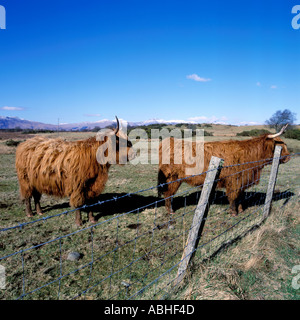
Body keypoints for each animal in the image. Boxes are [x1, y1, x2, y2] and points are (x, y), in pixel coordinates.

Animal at [158, 124, 290, 215]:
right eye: (280, 144)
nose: (289, 157)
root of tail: (169, 141)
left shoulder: (242, 180)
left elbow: (240, 196)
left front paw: (241, 210)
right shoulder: (234, 180)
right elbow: (233, 196)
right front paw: (234, 212)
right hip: (172, 178)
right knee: (168, 194)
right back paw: (170, 211)